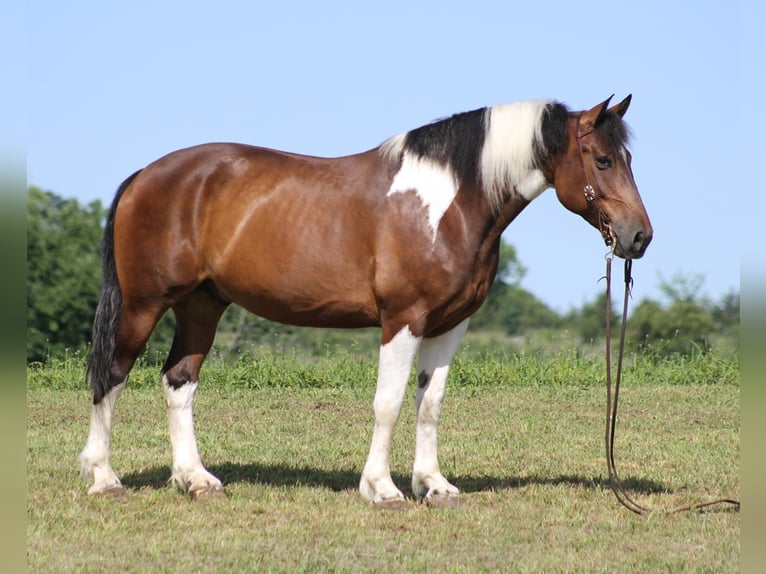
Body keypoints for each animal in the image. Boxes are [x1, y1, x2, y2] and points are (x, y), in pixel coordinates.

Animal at [78, 94, 656, 508]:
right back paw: (104, 478)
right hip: (144, 304)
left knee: (178, 381)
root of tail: (145, 176)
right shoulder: (403, 319)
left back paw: (196, 480)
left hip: (202, 306)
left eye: (629, 157)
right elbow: (389, 402)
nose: (639, 237)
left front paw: (434, 485)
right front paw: (382, 488)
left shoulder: (449, 325)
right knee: (112, 376)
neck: (449, 201)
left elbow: (429, 403)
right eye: (603, 159)